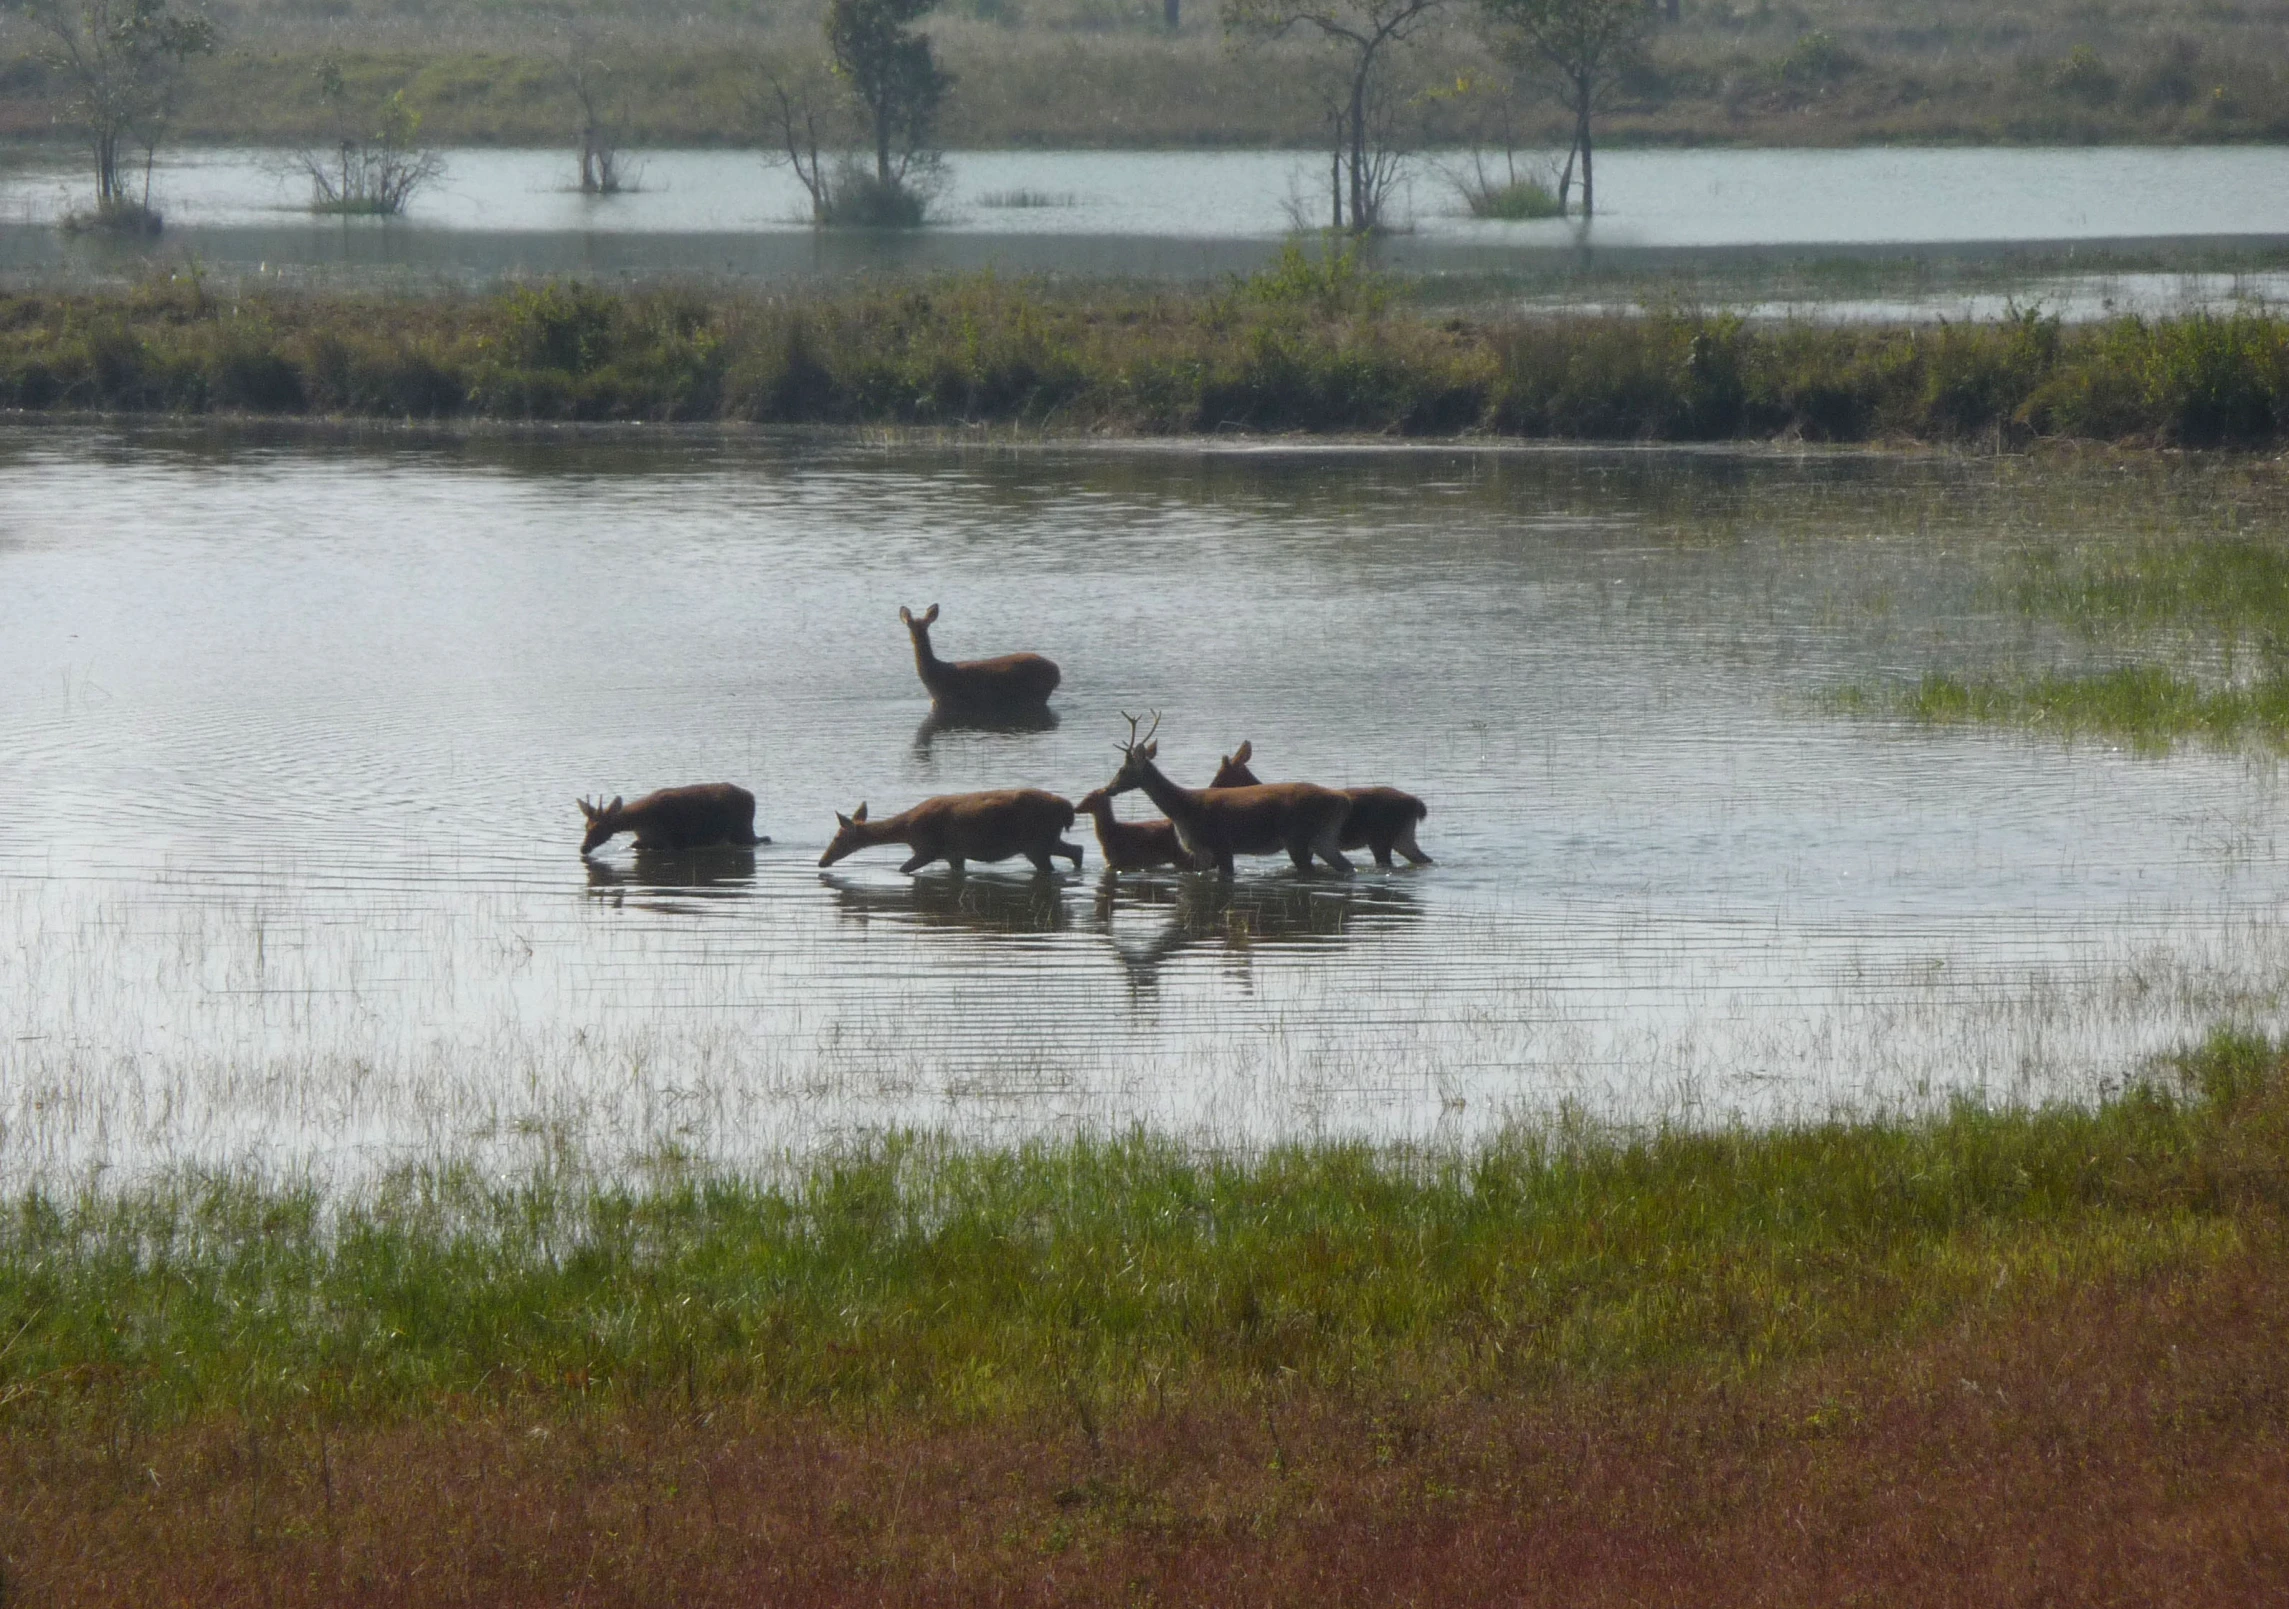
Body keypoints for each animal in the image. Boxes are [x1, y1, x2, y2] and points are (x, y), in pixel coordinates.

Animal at [576, 778, 773, 855]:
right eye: (585, 826)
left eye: (599, 827)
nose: (584, 848)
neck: (641, 822)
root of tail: (751, 797)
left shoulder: (670, 842)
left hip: (742, 831)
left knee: (765, 839)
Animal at [819, 791, 1084, 874]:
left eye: (837, 837)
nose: (822, 861)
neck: (906, 830)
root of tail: (1067, 809)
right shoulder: (954, 854)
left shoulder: (928, 848)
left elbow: (903, 869)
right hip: (1048, 839)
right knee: (1078, 849)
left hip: (1036, 842)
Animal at [901, 608, 1062, 714]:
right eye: (910, 625)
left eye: (925, 626)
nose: (916, 638)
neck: (933, 675)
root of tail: (1057, 672)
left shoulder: (948, 701)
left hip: (1036, 693)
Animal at [1098, 709, 1345, 874]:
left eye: (1122, 769)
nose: (1108, 788)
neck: (1182, 809)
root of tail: (1341, 800)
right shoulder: (1202, 852)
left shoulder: (1220, 843)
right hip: (1322, 838)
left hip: (1299, 836)